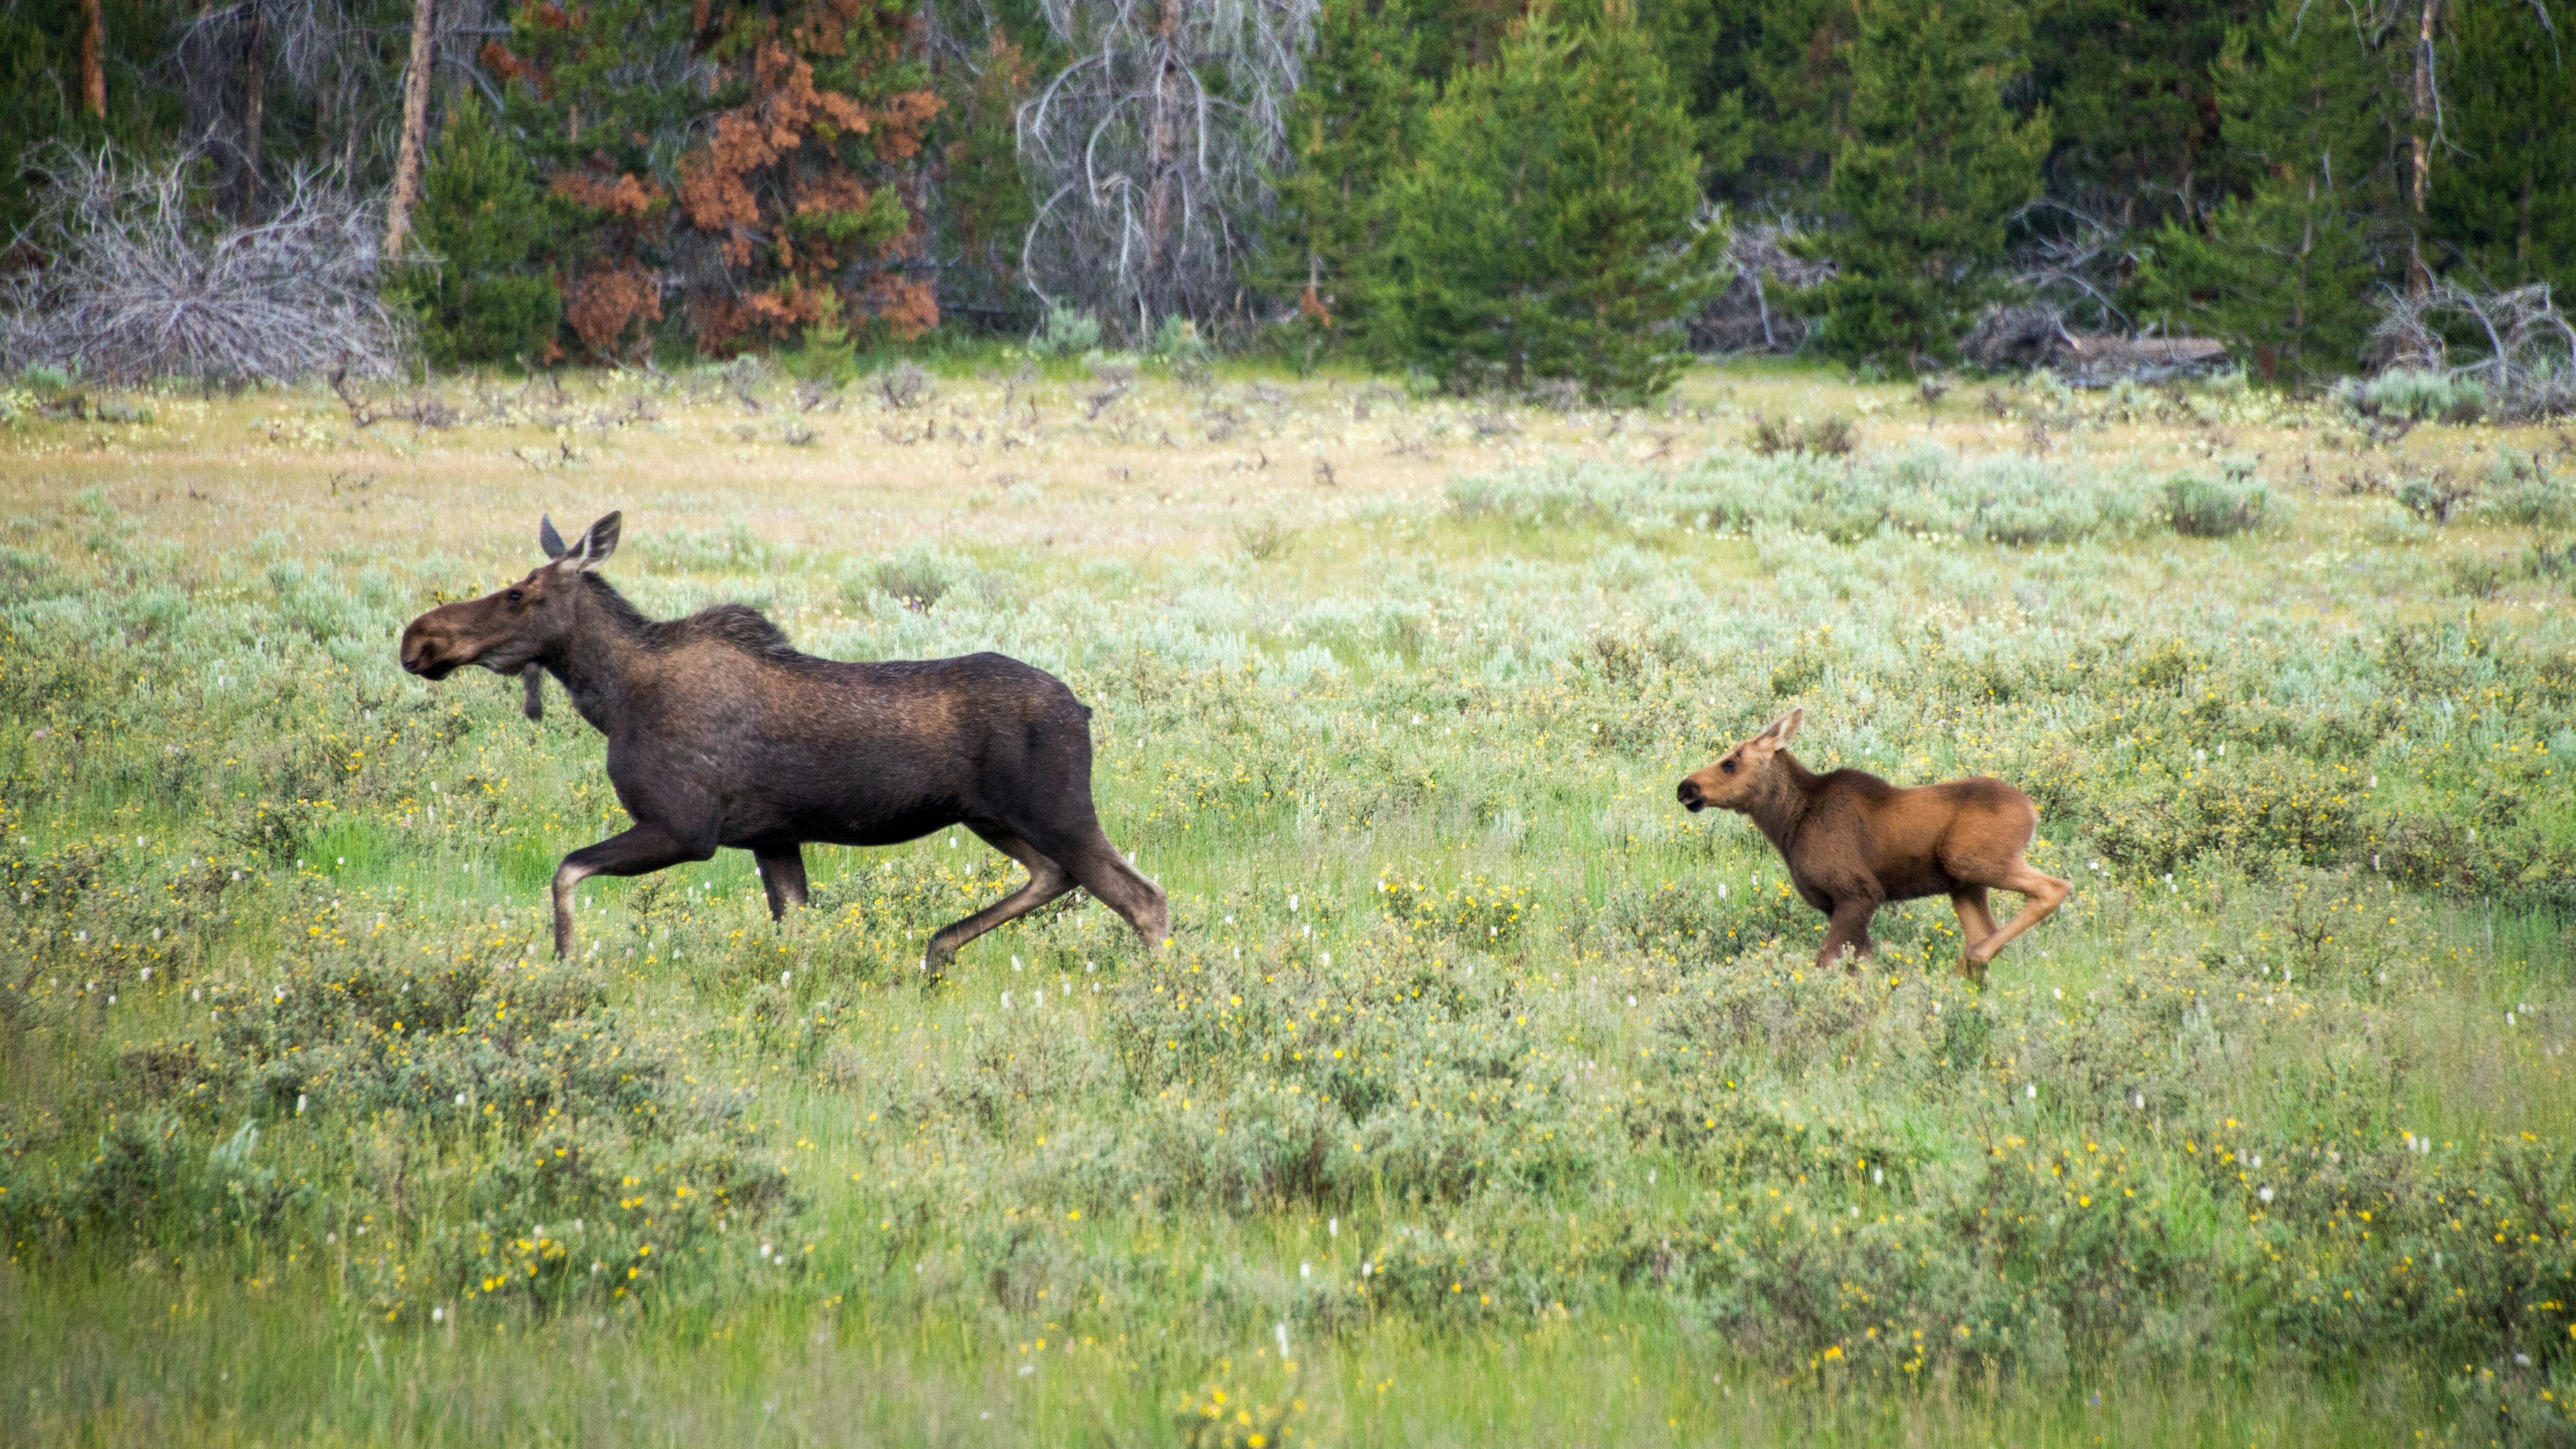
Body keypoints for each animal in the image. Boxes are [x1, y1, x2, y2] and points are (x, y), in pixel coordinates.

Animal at [398, 512, 1168, 971]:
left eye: (518, 594)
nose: (419, 638)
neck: (611, 700)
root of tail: (1083, 710)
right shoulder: (771, 838)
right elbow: (795, 934)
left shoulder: (686, 827)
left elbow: (565, 870)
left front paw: (562, 966)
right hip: (991, 816)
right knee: (1055, 876)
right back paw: (938, 946)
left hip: (1055, 809)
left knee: (1142, 897)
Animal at [1675, 708, 2069, 980]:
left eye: (1730, 763)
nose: (1685, 788)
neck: (1787, 825)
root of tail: (2032, 812)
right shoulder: (1841, 905)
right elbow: (1861, 966)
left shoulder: (1859, 892)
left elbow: (1827, 963)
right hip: (1964, 884)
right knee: (1982, 931)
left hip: (1971, 860)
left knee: (2053, 887)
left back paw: (1967, 963)